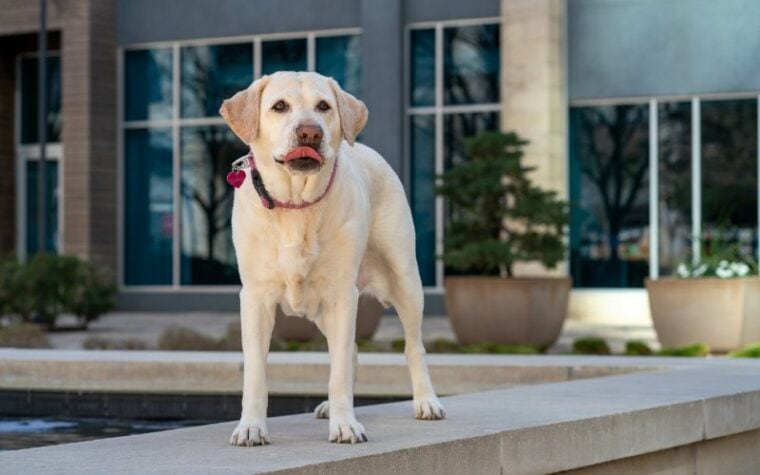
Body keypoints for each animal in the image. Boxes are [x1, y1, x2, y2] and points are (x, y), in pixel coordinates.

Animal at [220, 70, 446, 446]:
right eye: (279, 106)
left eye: (323, 106)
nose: (310, 132)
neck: (296, 206)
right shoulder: (254, 298)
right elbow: (255, 372)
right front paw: (251, 426)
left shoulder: (342, 295)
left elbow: (338, 369)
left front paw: (345, 424)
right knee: (352, 349)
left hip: (405, 279)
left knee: (413, 346)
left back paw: (426, 401)